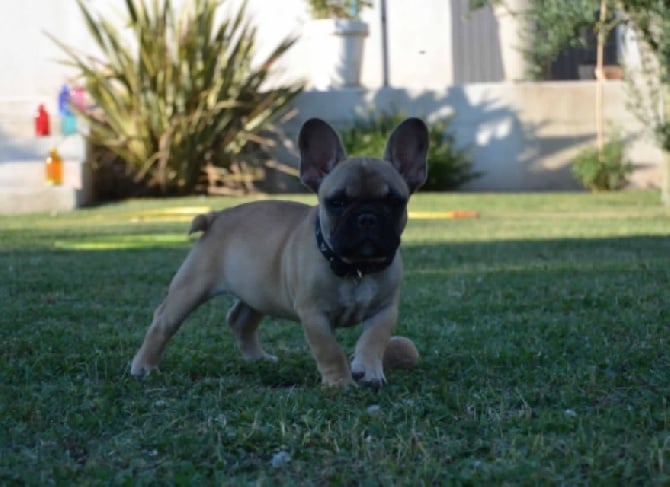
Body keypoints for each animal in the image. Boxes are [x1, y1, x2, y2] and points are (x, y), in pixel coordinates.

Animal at [131, 116, 430, 386]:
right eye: (337, 202)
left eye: (394, 202)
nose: (367, 217)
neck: (356, 268)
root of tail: (216, 217)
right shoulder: (314, 315)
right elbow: (330, 351)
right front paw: (339, 383)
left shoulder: (385, 310)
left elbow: (374, 339)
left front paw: (368, 370)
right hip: (191, 287)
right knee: (163, 322)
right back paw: (144, 365)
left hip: (258, 291)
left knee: (240, 321)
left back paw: (258, 358)